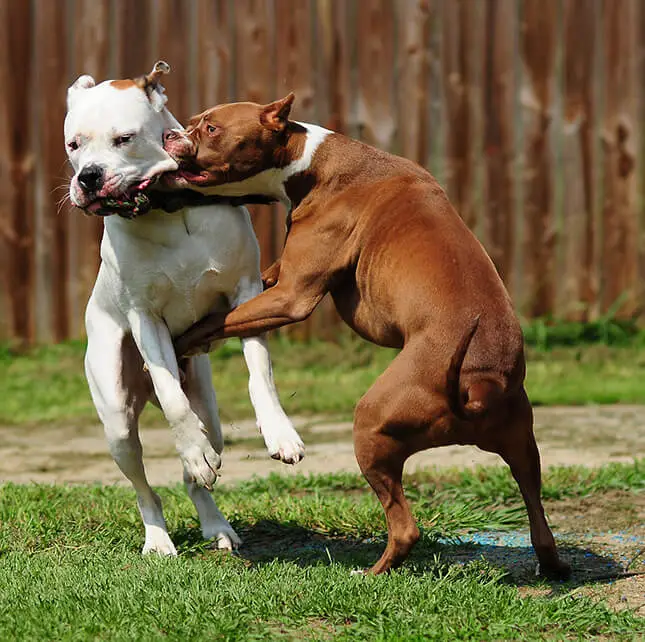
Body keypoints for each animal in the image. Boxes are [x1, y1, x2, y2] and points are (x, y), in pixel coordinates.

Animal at [64, 62, 304, 552]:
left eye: (124, 138)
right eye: (73, 145)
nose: (89, 177)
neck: (167, 207)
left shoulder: (247, 293)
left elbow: (260, 375)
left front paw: (280, 432)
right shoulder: (144, 318)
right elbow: (172, 398)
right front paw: (191, 447)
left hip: (209, 410)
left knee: (198, 475)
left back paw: (216, 524)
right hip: (117, 422)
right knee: (145, 488)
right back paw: (159, 536)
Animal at [161, 95, 568, 580]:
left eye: (211, 129)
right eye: (192, 122)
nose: (169, 135)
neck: (309, 161)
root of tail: (478, 389)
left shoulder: (291, 296)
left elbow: (218, 320)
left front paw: (182, 341)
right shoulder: (277, 280)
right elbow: (240, 302)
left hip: (371, 427)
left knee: (405, 527)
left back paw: (371, 573)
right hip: (523, 447)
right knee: (539, 519)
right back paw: (551, 566)